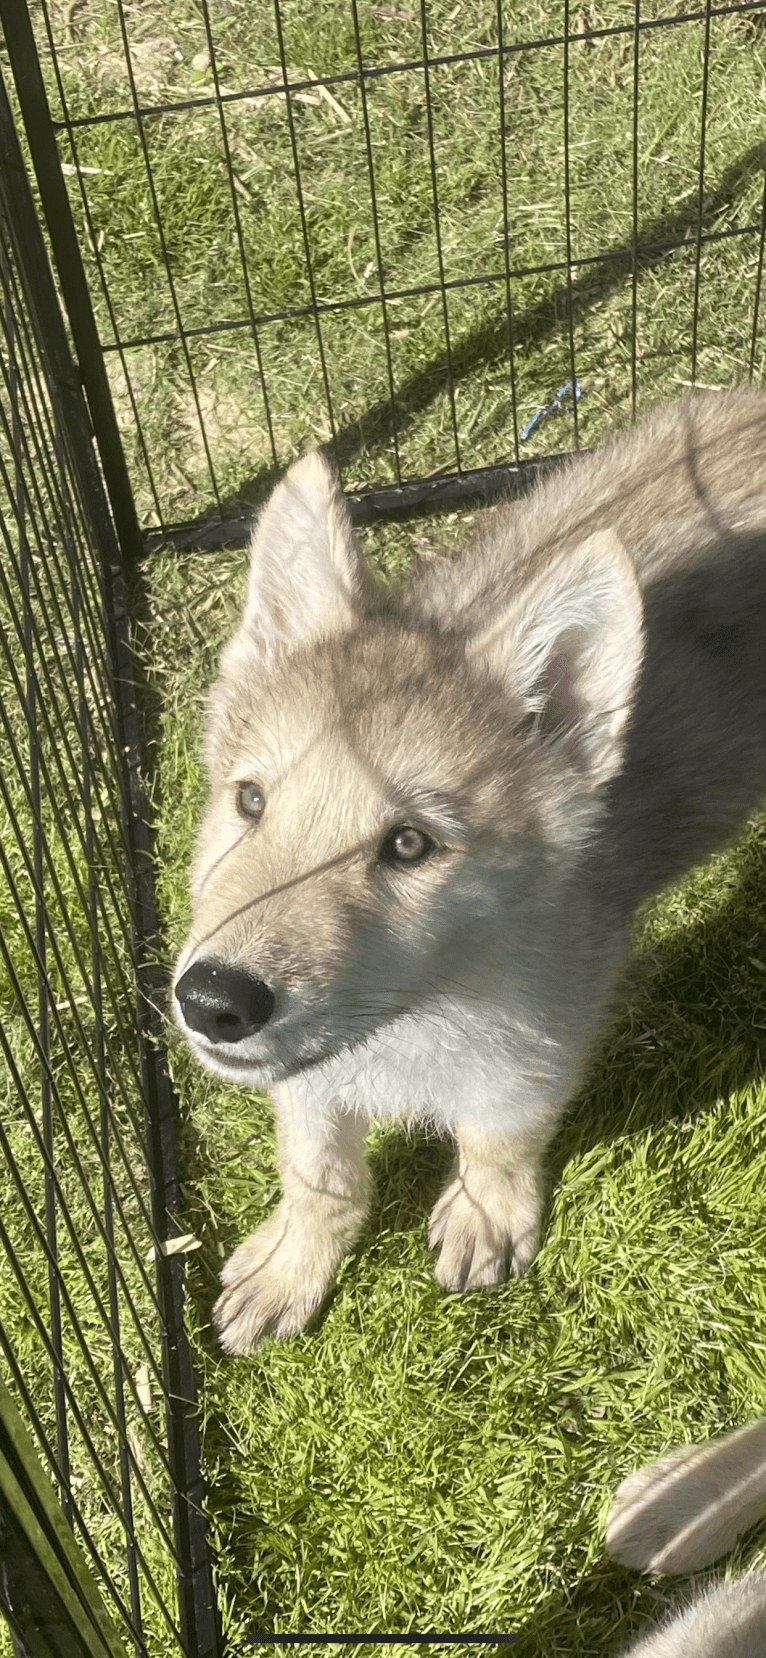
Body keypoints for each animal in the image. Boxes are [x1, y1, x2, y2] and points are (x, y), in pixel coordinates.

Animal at [172, 394, 766, 1352]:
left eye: (411, 845)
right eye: (250, 800)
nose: (212, 1001)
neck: (421, 1012)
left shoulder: (545, 1036)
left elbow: (499, 1135)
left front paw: (488, 1215)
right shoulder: (306, 1073)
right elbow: (317, 1169)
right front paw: (294, 1263)